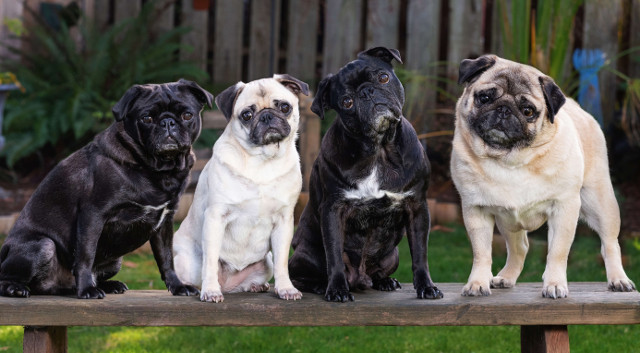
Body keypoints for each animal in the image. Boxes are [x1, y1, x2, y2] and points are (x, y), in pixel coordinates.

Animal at [0, 79, 212, 296]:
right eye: (147, 118)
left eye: (187, 115)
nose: (167, 122)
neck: (158, 170)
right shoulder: (93, 215)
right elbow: (86, 255)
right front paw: (86, 289)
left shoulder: (165, 222)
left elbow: (166, 259)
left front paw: (177, 286)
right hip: (43, 246)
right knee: (10, 277)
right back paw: (16, 288)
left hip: (115, 262)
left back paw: (108, 285)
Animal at [288, 46, 442, 300]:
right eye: (347, 102)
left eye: (383, 77)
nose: (367, 92)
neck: (379, 150)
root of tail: (360, 278)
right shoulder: (333, 210)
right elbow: (334, 256)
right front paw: (337, 290)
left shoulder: (417, 207)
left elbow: (421, 254)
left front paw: (426, 286)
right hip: (305, 256)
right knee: (302, 276)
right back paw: (321, 286)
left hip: (393, 255)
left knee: (378, 272)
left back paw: (385, 281)